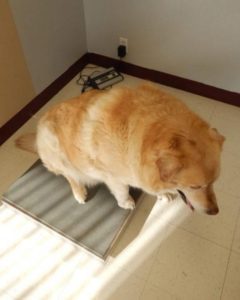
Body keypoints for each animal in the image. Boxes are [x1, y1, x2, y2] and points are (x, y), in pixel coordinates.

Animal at [15, 82, 224, 213]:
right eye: (195, 186)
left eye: (214, 182)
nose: (214, 211)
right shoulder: (112, 175)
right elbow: (122, 190)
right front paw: (127, 202)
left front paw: (163, 193)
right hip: (54, 145)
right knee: (69, 175)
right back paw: (79, 191)